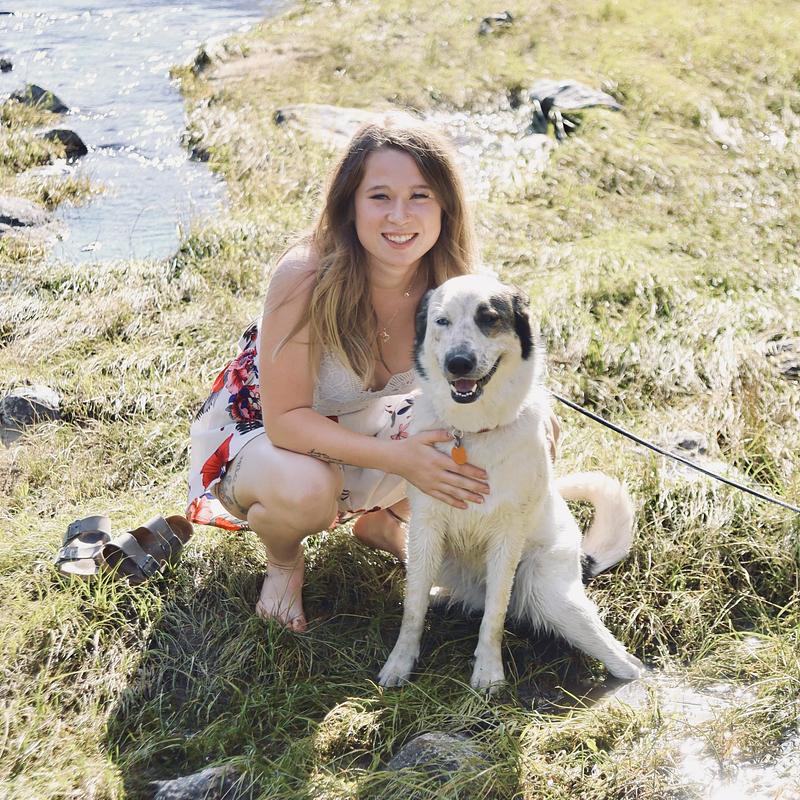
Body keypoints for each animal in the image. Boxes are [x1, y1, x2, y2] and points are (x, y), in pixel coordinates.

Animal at [378, 273, 643, 692]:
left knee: (625, 661)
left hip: (549, 595)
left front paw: (488, 672)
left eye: (488, 318)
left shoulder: (507, 538)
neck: (472, 434)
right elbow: (413, 607)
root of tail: (582, 560)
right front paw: (400, 663)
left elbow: (494, 617)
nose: (458, 363)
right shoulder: (424, 529)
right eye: (441, 321)